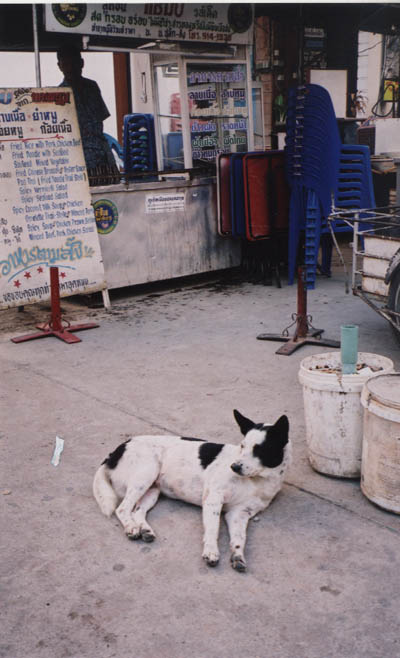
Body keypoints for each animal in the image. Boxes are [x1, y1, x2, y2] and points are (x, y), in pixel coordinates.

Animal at [92, 410, 290, 568]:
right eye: (242, 446)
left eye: (259, 449)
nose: (234, 467)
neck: (256, 480)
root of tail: (116, 450)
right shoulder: (213, 500)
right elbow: (213, 529)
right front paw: (211, 551)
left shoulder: (239, 513)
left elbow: (240, 539)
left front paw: (238, 556)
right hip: (146, 473)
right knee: (123, 508)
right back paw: (131, 528)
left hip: (152, 489)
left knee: (137, 511)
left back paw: (144, 530)